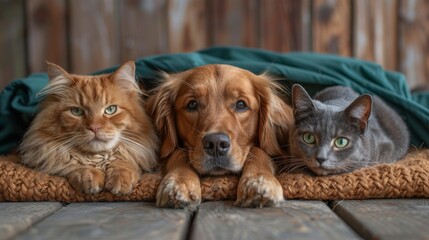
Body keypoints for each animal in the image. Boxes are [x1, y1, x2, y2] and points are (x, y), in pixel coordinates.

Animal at [19, 60, 158, 195]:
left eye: (111, 109)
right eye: (76, 112)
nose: (94, 128)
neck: (97, 158)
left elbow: (122, 161)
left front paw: (121, 180)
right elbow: (74, 162)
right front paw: (89, 177)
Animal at [148, 64, 294, 208]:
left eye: (241, 104)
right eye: (192, 104)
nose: (216, 144)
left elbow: (259, 151)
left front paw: (259, 180)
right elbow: (177, 153)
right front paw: (179, 180)